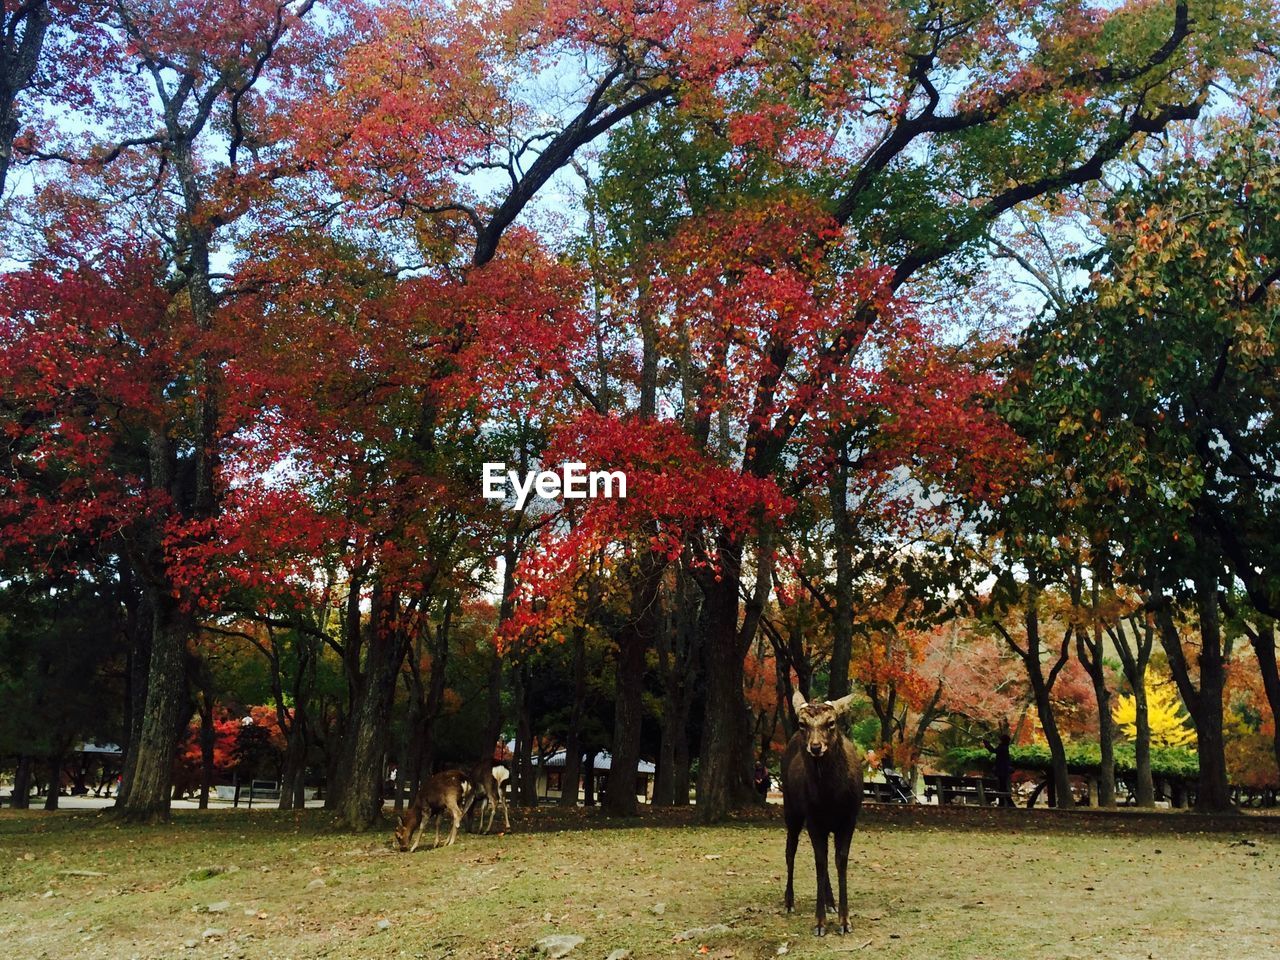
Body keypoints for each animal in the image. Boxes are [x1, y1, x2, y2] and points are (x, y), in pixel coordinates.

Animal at [773, 691, 865, 942]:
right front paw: (820, 923)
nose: (815, 746)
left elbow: (839, 861)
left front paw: (844, 921)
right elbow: (820, 863)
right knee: (790, 851)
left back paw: (830, 902)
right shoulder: (814, 820)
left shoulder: (849, 819)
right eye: (802, 723)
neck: (830, 798)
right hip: (791, 810)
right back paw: (789, 901)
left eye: (831, 722)